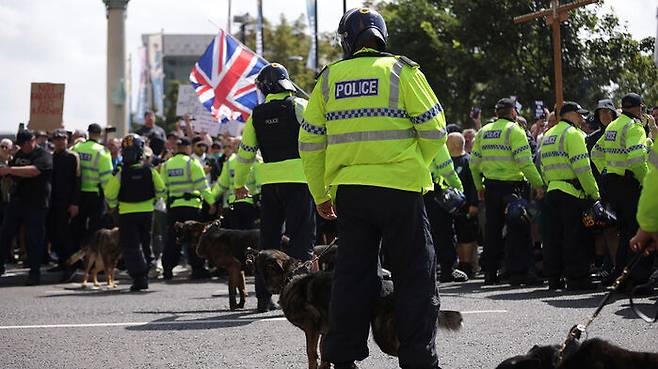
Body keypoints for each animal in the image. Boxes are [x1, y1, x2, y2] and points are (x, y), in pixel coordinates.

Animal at [254, 247, 464, 368]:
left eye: (260, 259)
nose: (250, 252)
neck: (290, 276)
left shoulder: (312, 329)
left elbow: (312, 354)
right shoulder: (327, 332)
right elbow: (325, 355)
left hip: (383, 336)